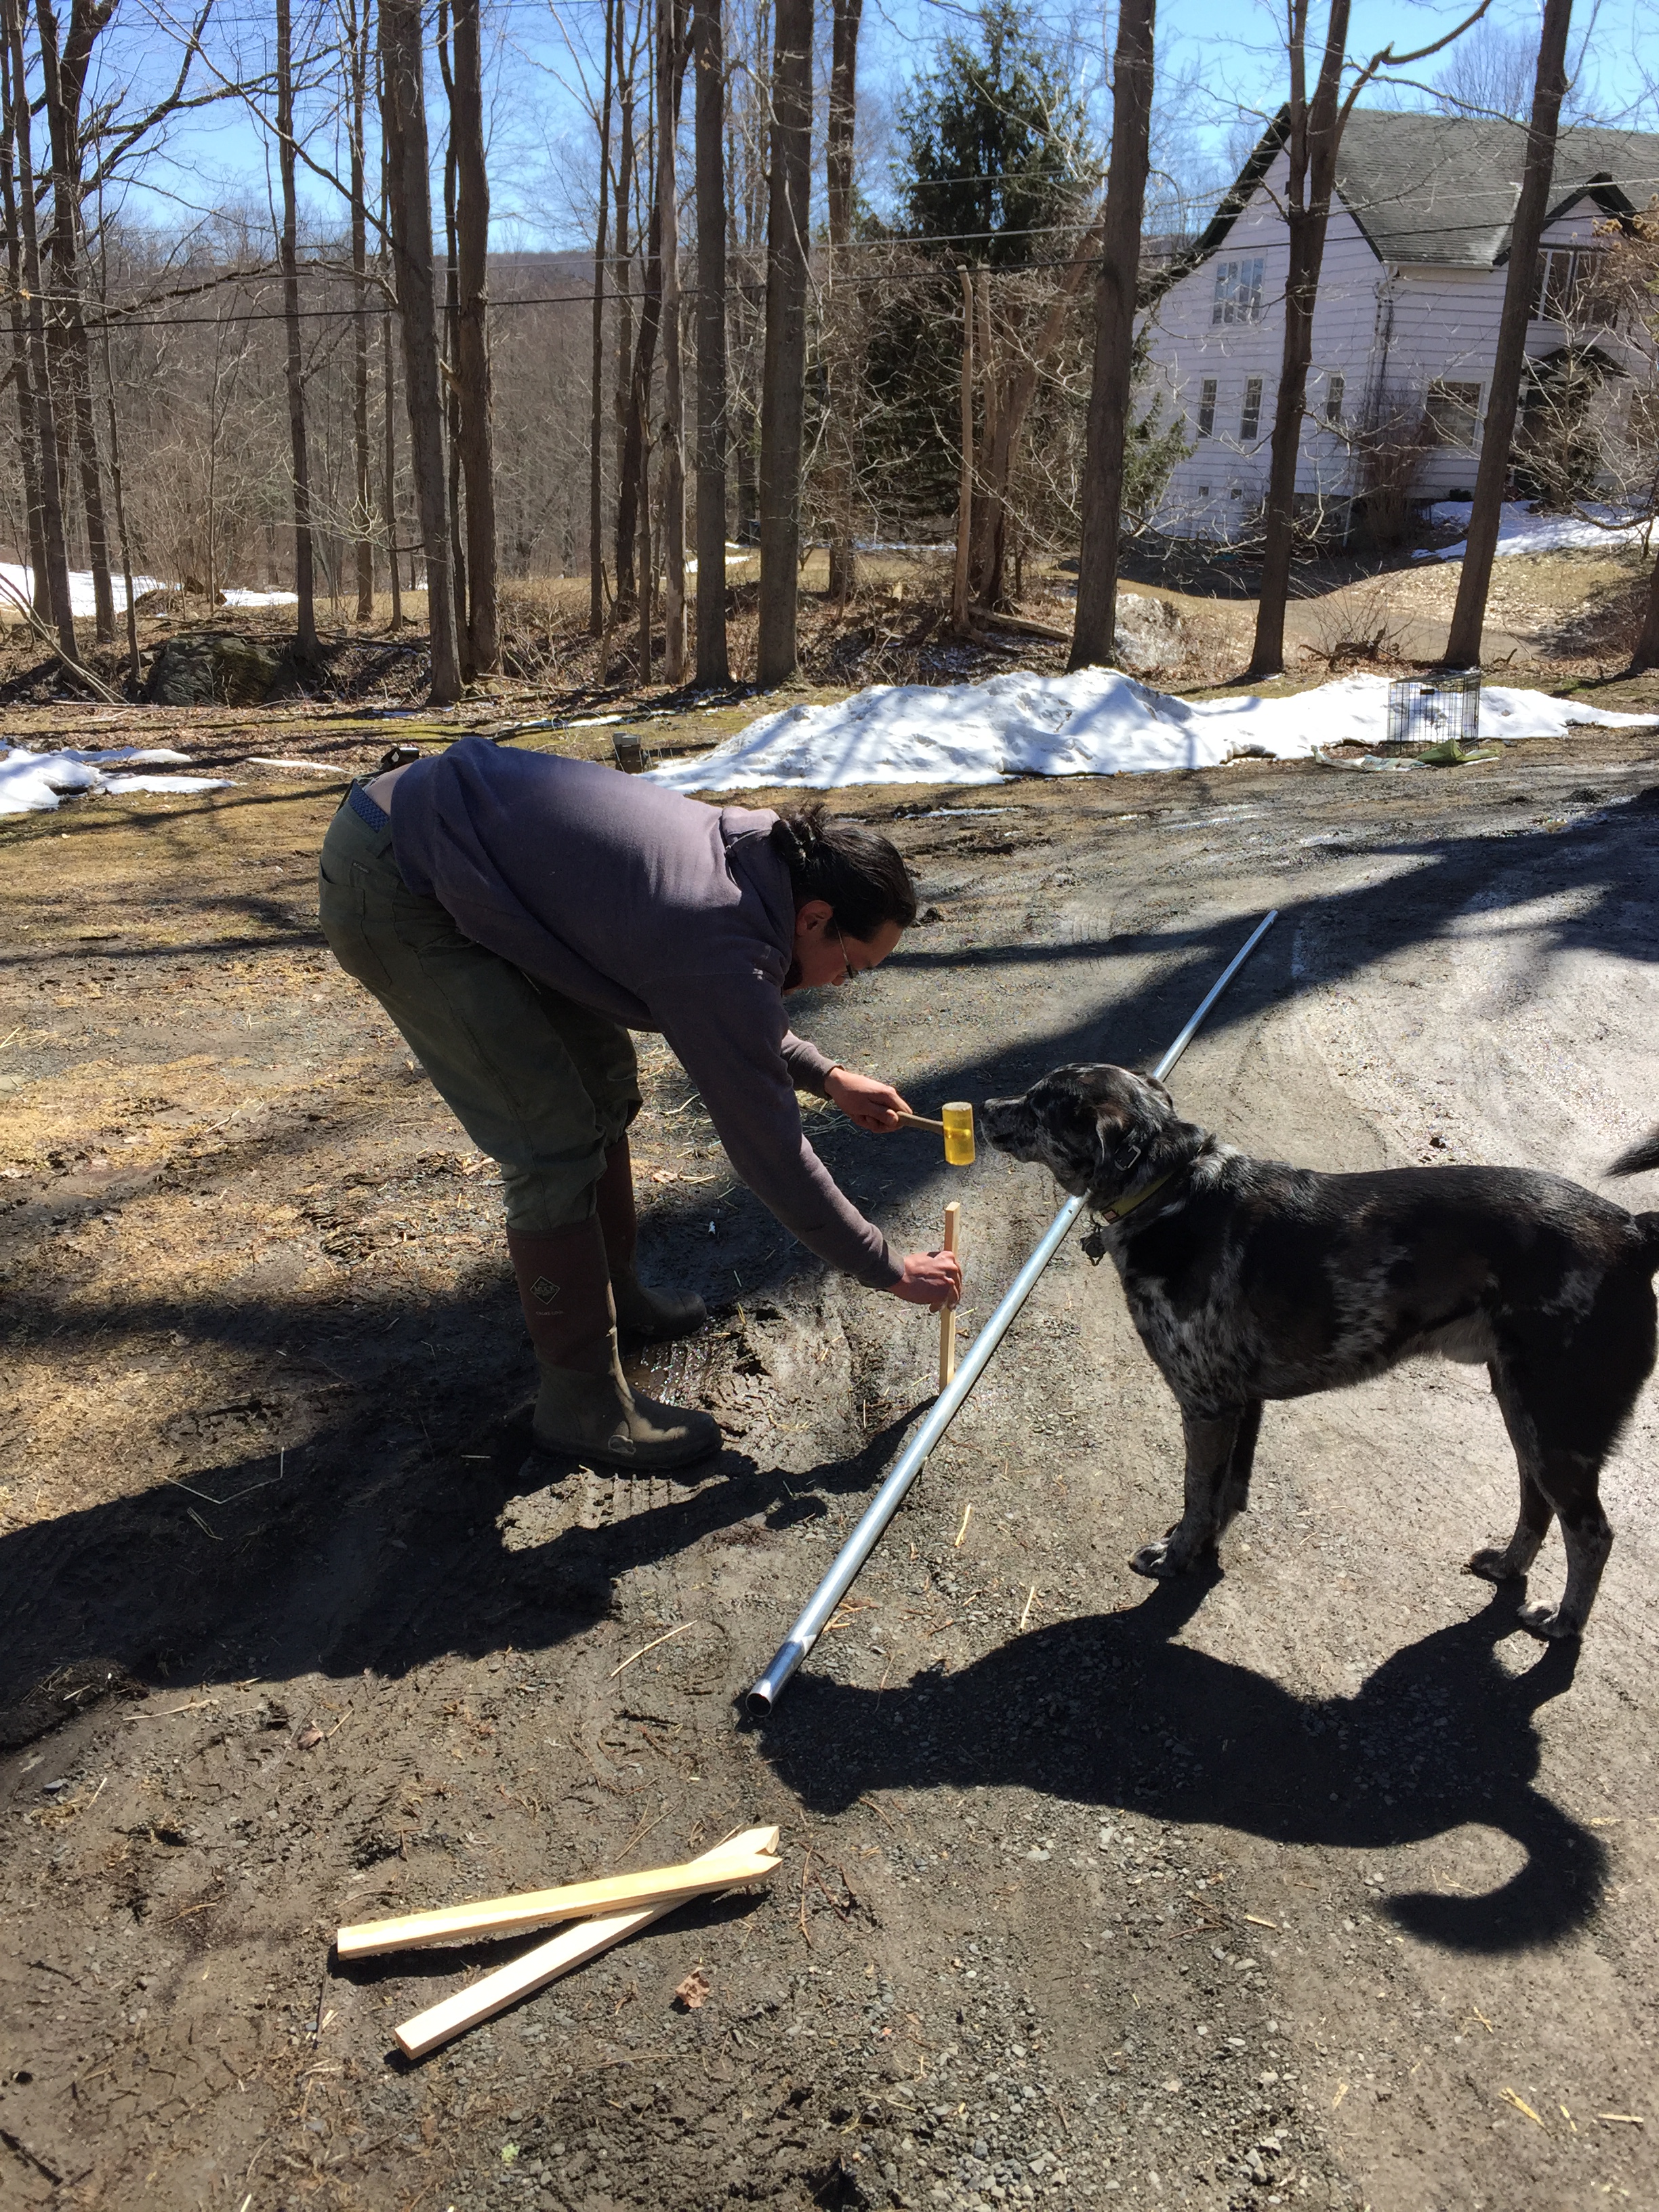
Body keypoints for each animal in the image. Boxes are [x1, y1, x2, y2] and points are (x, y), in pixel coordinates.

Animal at [982, 1070, 1659, 1645]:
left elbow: (1198, 1491)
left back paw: (1565, 1621)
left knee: (1592, 1533)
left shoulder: (1206, 1406)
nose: (985, 1106)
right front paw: (1200, 1548)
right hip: (1526, 1416)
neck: (1173, 1191)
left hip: (1559, 1430)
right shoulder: (1240, 1404)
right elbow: (1227, 1493)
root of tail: (1634, 1229)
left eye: (1039, 1102)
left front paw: (1175, 1558)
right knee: (1537, 1505)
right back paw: (1508, 1564)